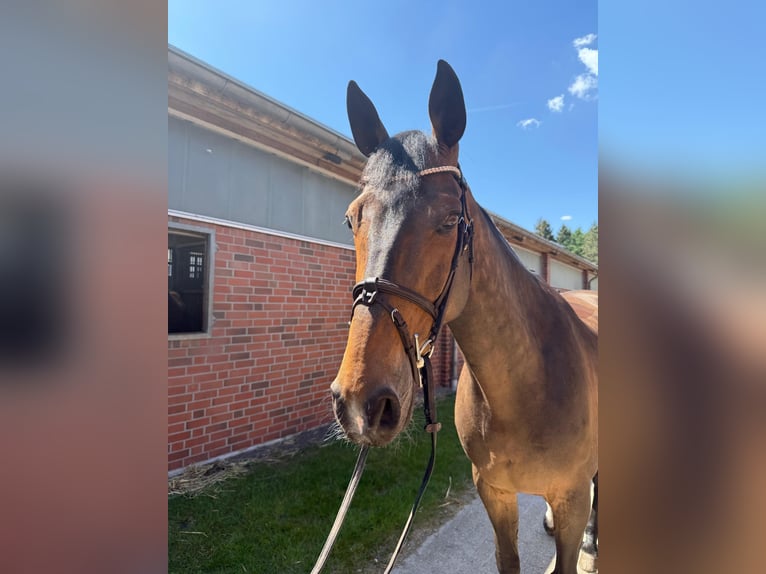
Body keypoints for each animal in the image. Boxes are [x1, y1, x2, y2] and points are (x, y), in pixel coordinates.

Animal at [330, 60, 598, 574]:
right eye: (353, 218)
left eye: (451, 219)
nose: (360, 403)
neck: (527, 387)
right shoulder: (493, 492)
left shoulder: (572, 497)